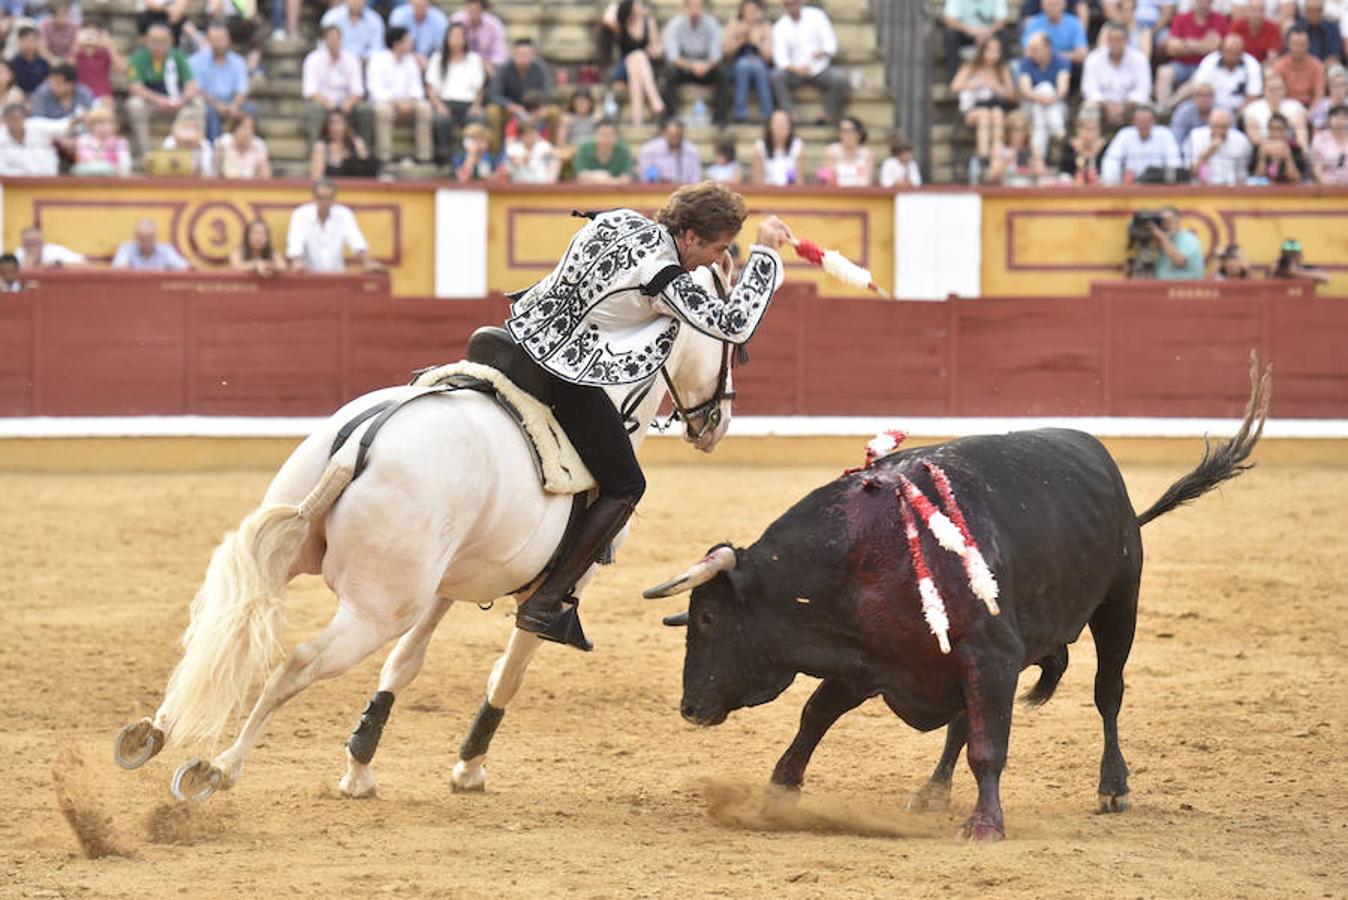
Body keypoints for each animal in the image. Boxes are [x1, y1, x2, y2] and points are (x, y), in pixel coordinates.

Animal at [113, 319, 738, 797]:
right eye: (729, 341)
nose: (719, 421)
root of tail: (364, 440)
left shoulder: (449, 583)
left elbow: (406, 663)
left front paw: (359, 765)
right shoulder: (557, 589)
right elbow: (508, 673)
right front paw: (469, 767)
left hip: (316, 559)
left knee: (224, 624)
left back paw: (154, 731)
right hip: (378, 609)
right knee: (298, 664)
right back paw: (218, 767)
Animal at [647, 361, 1267, 840]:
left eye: (708, 615)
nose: (689, 707)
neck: (863, 554)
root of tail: (1099, 458)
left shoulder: (989, 656)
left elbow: (989, 746)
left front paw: (986, 824)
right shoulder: (872, 660)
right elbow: (815, 716)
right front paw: (777, 793)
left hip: (1119, 603)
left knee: (1107, 692)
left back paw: (1112, 787)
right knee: (962, 723)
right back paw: (933, 790)